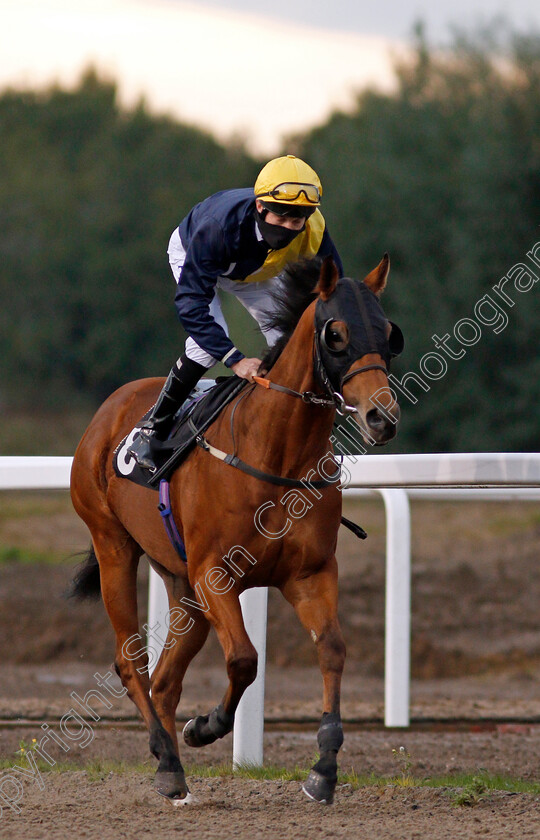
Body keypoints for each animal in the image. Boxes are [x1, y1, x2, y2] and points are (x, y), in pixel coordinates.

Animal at [69, 253, 402, 804]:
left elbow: (332, 649)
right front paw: (204, 726)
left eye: (389, 333)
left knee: (165, 679)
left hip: (181, 585)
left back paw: (173, 763)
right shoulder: (215, 577)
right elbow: (245, 658)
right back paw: (167, 758)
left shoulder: (310, 574)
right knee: (130, 662)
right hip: (113, 544)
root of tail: (110, 407)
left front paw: (324, 768)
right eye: (336, 334)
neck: (276, 453)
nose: (382, 417)